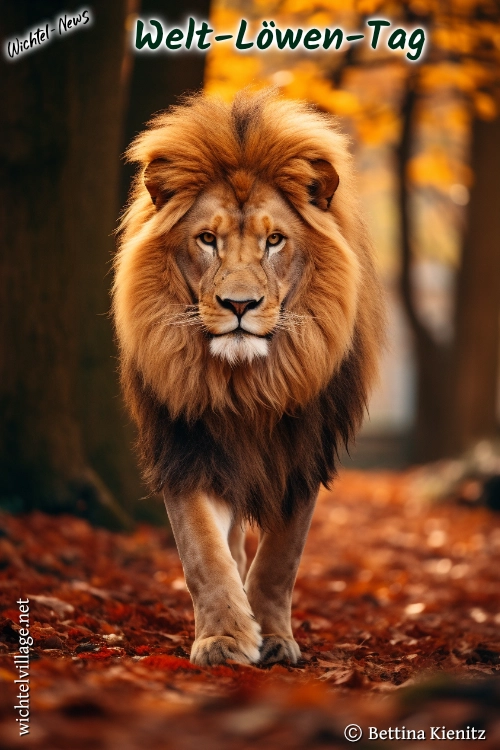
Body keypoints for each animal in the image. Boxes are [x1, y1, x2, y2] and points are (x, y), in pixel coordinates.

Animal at [113, 89, 385, 667]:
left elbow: (281, 559)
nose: (240, 305)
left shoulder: (303, 453)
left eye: (275, 240)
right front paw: (223, 637)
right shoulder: (187, 448)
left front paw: (275, 639)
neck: (247, 388)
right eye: (207, 239)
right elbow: (204, 553)